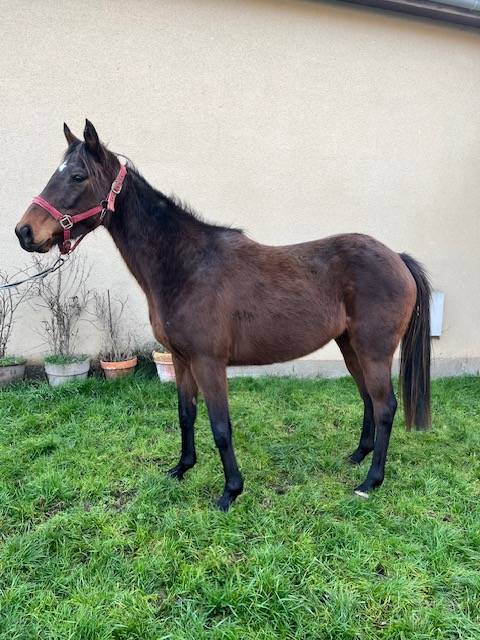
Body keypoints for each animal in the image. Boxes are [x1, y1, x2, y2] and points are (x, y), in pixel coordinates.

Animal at [15, 120, 431, 510]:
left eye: (77, 176)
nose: (24, 231)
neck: (187, 266)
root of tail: (398, 258)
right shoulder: (181, 359)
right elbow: (186, 414)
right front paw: (181, 468)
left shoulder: (208, 362)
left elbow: (220, 426)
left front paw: (231, 491)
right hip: (349, 346)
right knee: (367, 399)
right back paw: (358, 456)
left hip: (374, 350)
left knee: (385, 406)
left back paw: (370, 481)